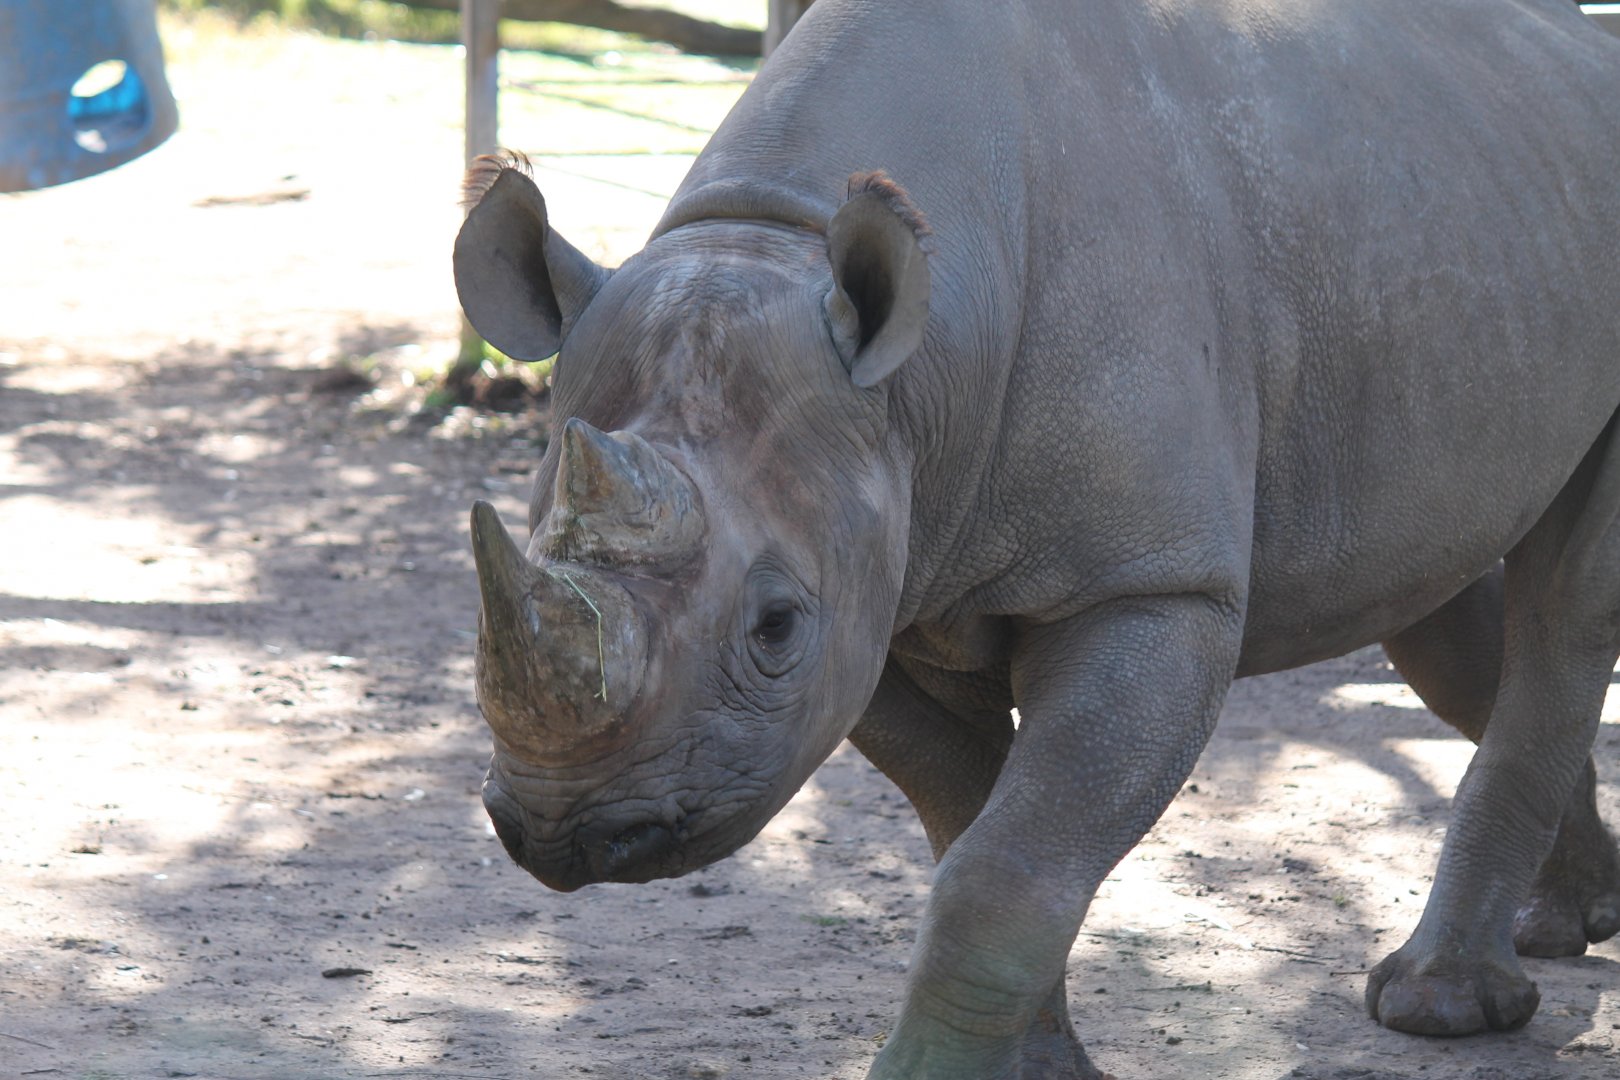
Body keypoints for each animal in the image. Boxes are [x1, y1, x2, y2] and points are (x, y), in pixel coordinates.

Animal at [452, 1, 1620, 1075]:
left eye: (776, 626)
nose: (565, 831)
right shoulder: (889, 580)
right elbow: (975, 828)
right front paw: (1041, 1066)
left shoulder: (1150, 583)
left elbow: (1007, 864)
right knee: (1448, 625)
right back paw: (1563, 929)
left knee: (1561, 616)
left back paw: (1441, 1006)